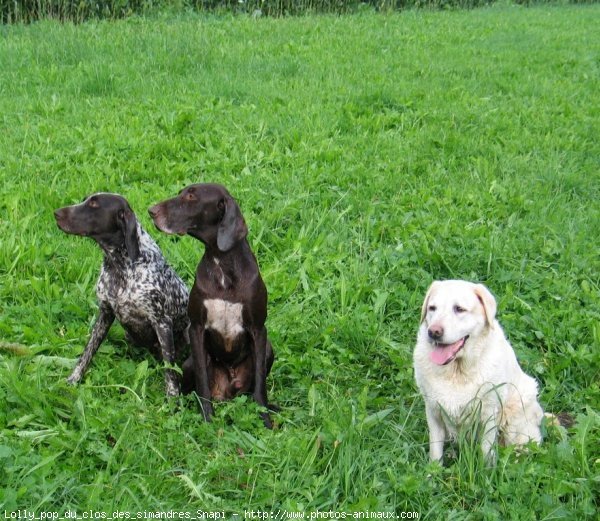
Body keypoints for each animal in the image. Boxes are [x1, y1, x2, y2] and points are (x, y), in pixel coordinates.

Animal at [55, 193, 190, 396]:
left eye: (94, 204)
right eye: (86, 199)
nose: (56, 213)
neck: (120, 266)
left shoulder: (162, 323)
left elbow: (170, 370)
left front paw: (172, 397)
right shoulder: (105, 313)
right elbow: (87, 352)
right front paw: (74, 379)